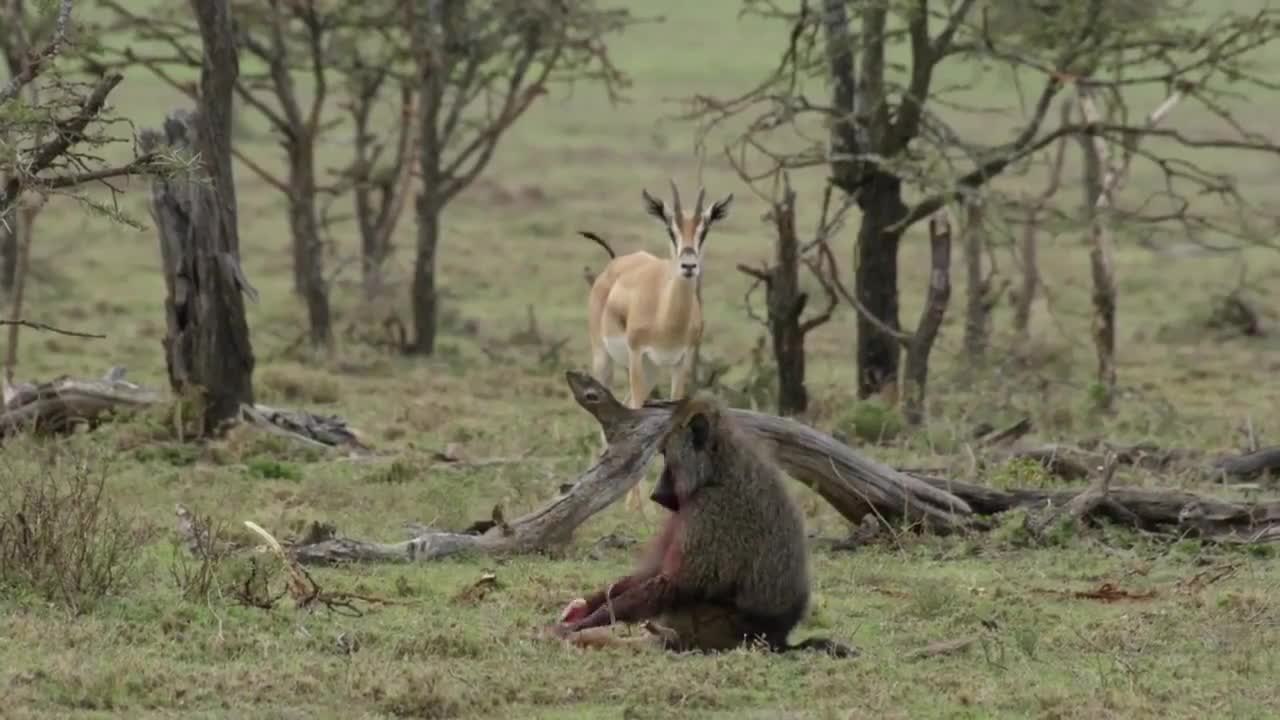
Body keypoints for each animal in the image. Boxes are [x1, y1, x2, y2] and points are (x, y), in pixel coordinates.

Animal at [546, 392, 856, 658]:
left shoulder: (707, 508)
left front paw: (581, 625)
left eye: (666, 456)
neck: (717, 471)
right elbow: (651, 574)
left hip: (724, 631)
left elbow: (675, 584)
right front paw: (580, 610)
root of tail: (778, 641)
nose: (656, 494)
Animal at [583, 180, 733, 513]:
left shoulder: (681, 362)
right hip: (606, 360)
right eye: (670, 228)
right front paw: (634, 506)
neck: (666, 316)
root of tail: (614, 264)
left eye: (704, 228)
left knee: (626, 408)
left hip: (651, 372)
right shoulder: (639, 355)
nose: (689, 265)